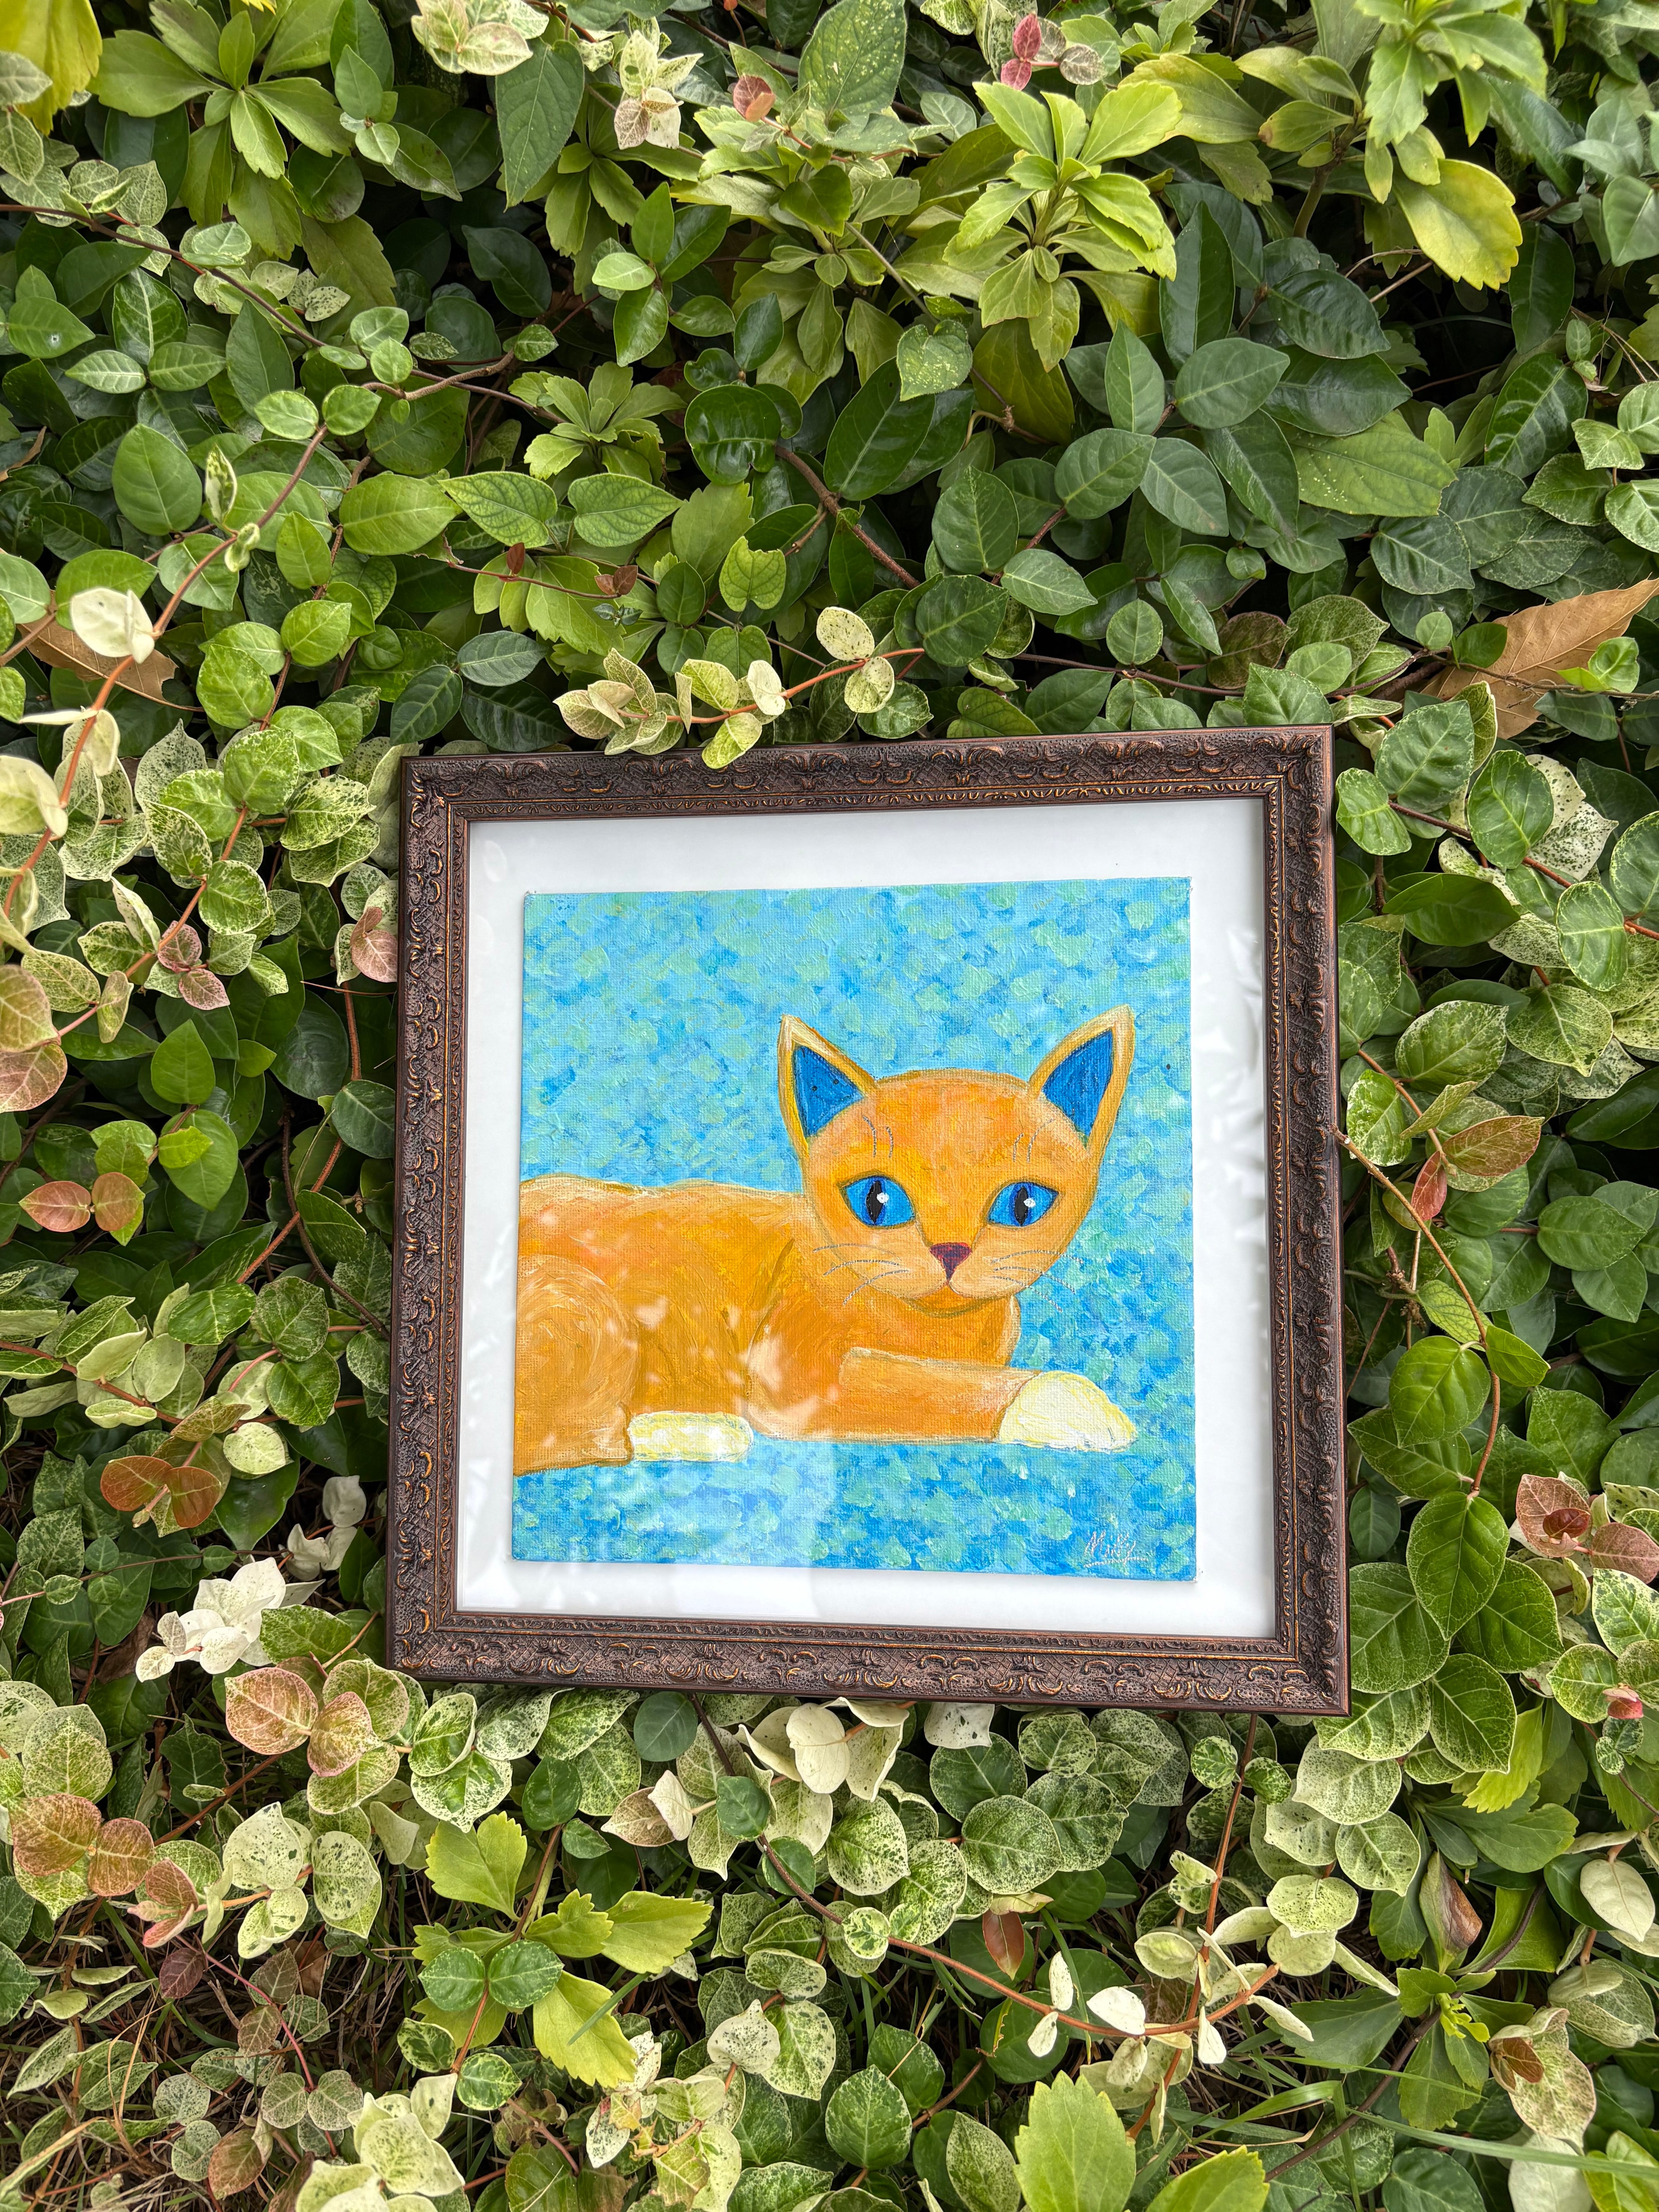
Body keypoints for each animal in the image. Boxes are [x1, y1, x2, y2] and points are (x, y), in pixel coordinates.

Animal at [513, 1007, 1138, 1476]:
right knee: (565, 1438)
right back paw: (698, 1430)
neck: (942, 1332)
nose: (950, 1252)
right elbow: (928, 1386)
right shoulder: (798, 1378)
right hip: (582, 1303)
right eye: (878, 1201)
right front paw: (1064, 1399)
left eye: (1023, 1203)